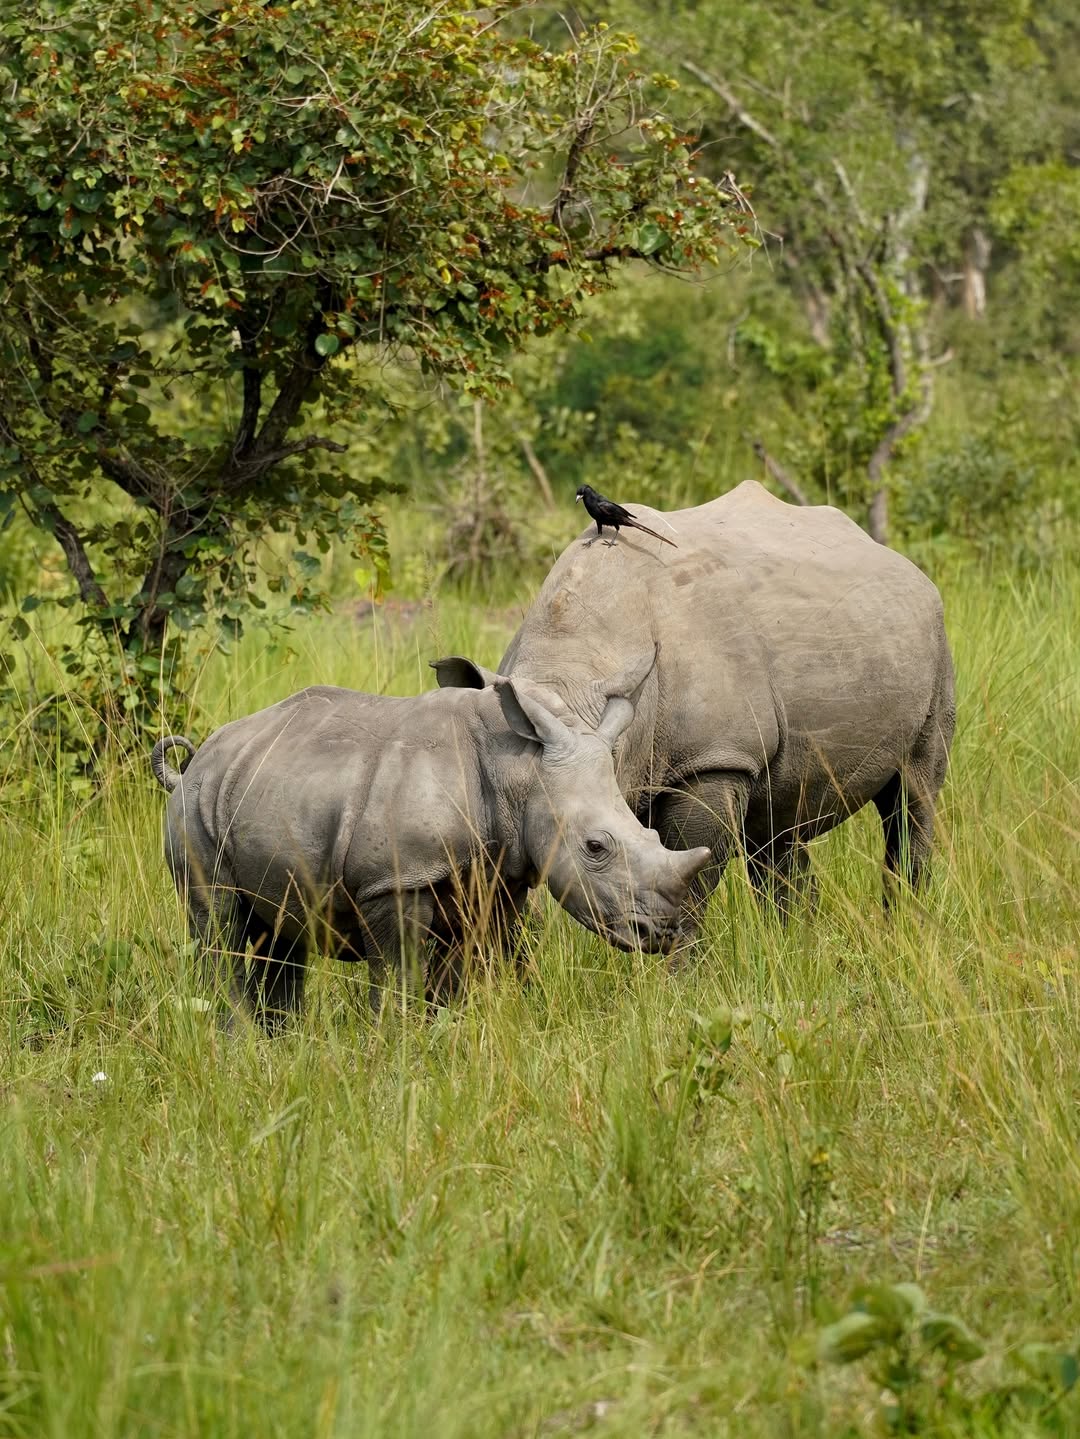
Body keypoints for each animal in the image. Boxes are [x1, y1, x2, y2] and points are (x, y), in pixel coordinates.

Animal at [150, 658, 711, 1024]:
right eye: (596, 847)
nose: (660, 934)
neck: (518, 769)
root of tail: (193, 765)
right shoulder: (396, 879)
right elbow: (401, 975)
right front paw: (395, 1046)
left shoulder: (496, 875)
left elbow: (459, 976)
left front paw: (442, 1041)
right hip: (196, 808)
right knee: (217, 921)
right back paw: (236, 1041)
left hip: (262, 787)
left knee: (283, 935)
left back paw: (279, 1045)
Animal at [434, 481, 955, 912]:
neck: (573, 670)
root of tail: (901, 560)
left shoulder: (715, 758)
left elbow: (690, 874)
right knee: (779, 823)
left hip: (935, 632)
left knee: (914, 796)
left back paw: (905, 922)